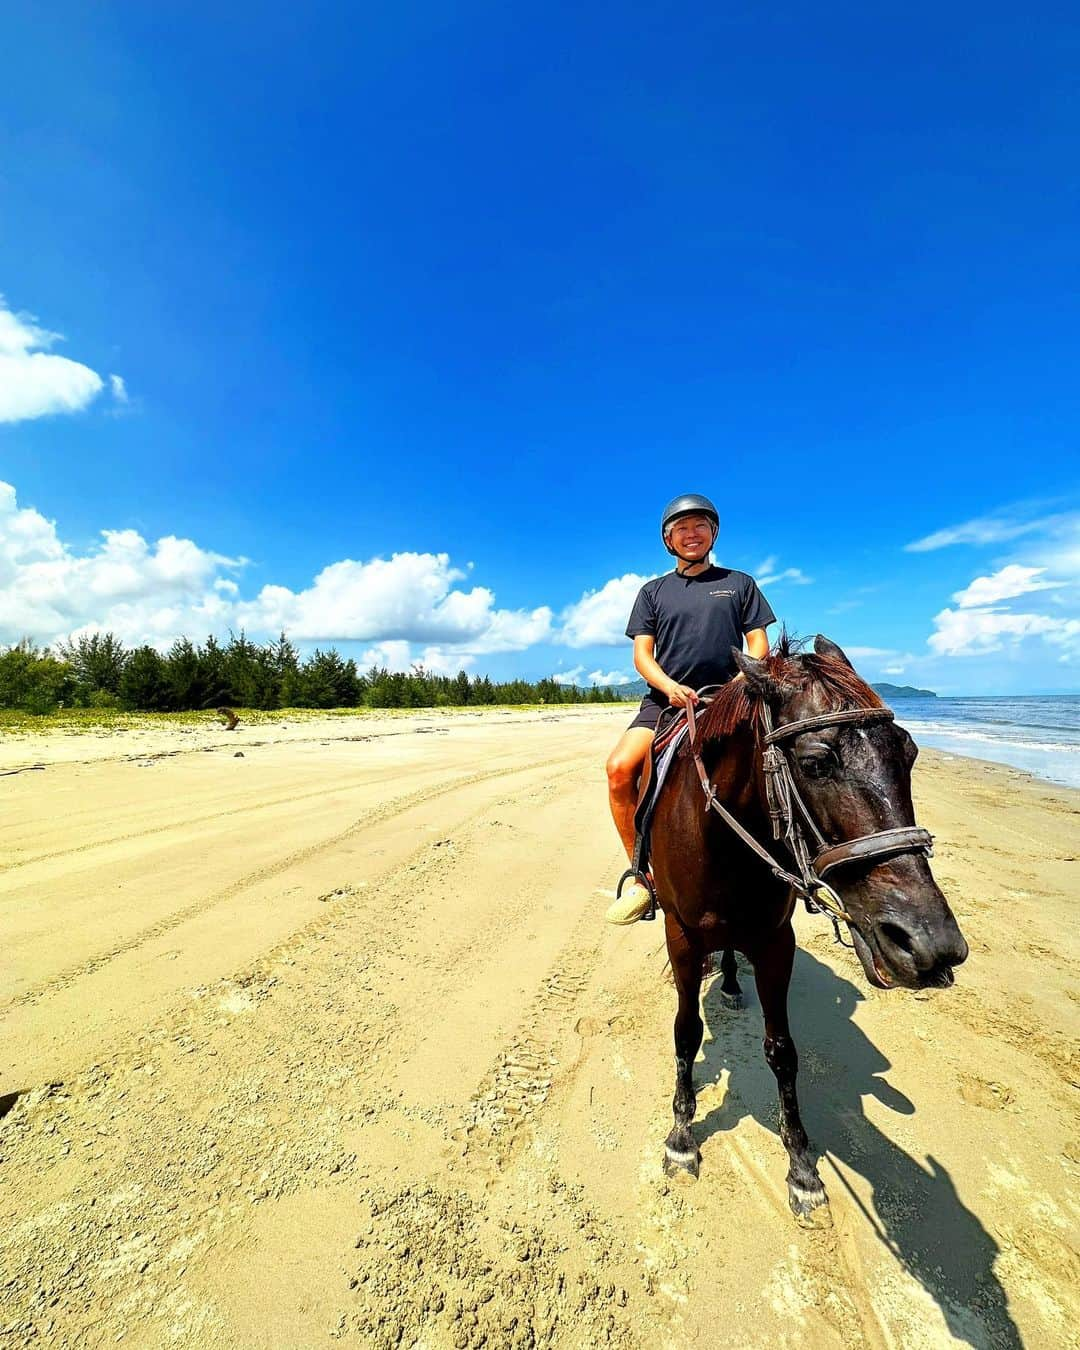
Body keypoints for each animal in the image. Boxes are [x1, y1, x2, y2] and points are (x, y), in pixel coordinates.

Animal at [650, 631, 972, 1225]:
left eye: (909, 753)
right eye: (817, 763)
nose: (931, 945)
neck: (722, 844)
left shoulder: (776, 941)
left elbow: (782, 1050)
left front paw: (801, 1167)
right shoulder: (681, 936)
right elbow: (686, 1032)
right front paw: (682, 1136)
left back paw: (731, 983)